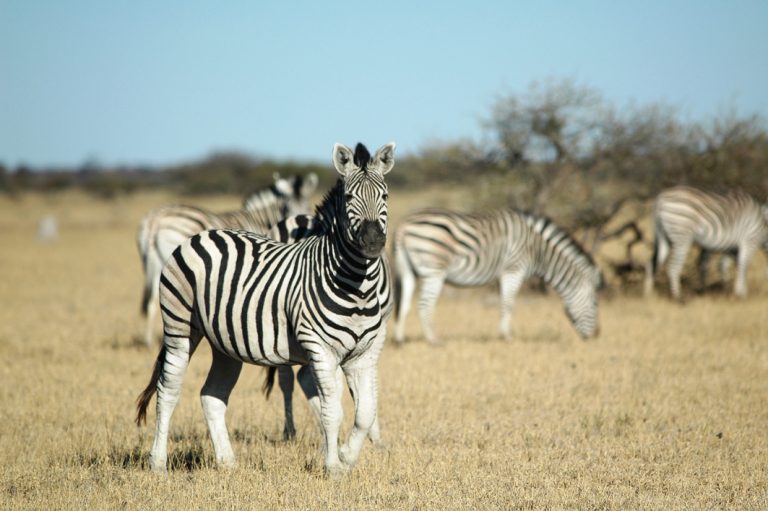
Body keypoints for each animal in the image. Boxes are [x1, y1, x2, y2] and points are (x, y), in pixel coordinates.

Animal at [136, 174, 318, 346]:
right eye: (287, 207)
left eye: (306, 205)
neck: (259, 220)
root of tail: (155, 219)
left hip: (154, 264)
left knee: (152, 301)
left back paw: (148, 341)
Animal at [392, 207, 604, 344]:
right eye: (595, 304)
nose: (596, 335)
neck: (538, 251)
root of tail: (403, 225)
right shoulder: (514, 269)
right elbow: (508, 303)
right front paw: (506, 336)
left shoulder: (508, 272)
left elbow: (504, 301)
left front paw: (504, 333)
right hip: (435, 270)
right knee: (424, 304)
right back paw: (433, 339)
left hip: (408, 270)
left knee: (404, 303)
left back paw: (400, 339)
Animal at [640, 186, 768, 300]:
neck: (763, 226)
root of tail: (660, 199)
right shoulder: (750, 240)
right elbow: (743, 266)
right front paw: (741, 294)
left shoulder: (732, 248)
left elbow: (723, 266)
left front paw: (725, 289)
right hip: (682, 235)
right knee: (673, 267)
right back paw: (678, 297)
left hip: (663, 237)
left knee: (651, 264)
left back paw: (648, 294)